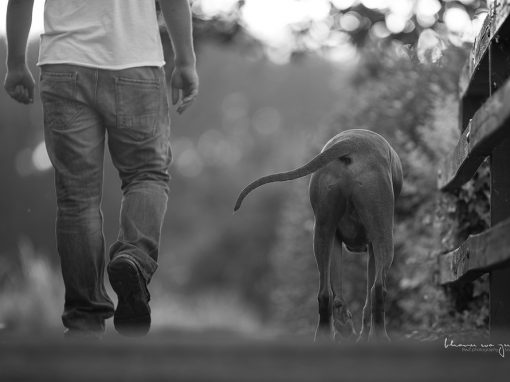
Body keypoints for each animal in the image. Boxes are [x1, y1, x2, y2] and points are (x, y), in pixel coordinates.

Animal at [234, 130, 402, 342]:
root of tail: (351, 143)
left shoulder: (336, 240)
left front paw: (346, 327)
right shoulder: (372, 245)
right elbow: (368, 298)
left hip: (323, 230)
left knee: (325, 294)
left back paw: (328, 335)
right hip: (383, 234)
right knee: (378, 288)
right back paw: (379, 336)